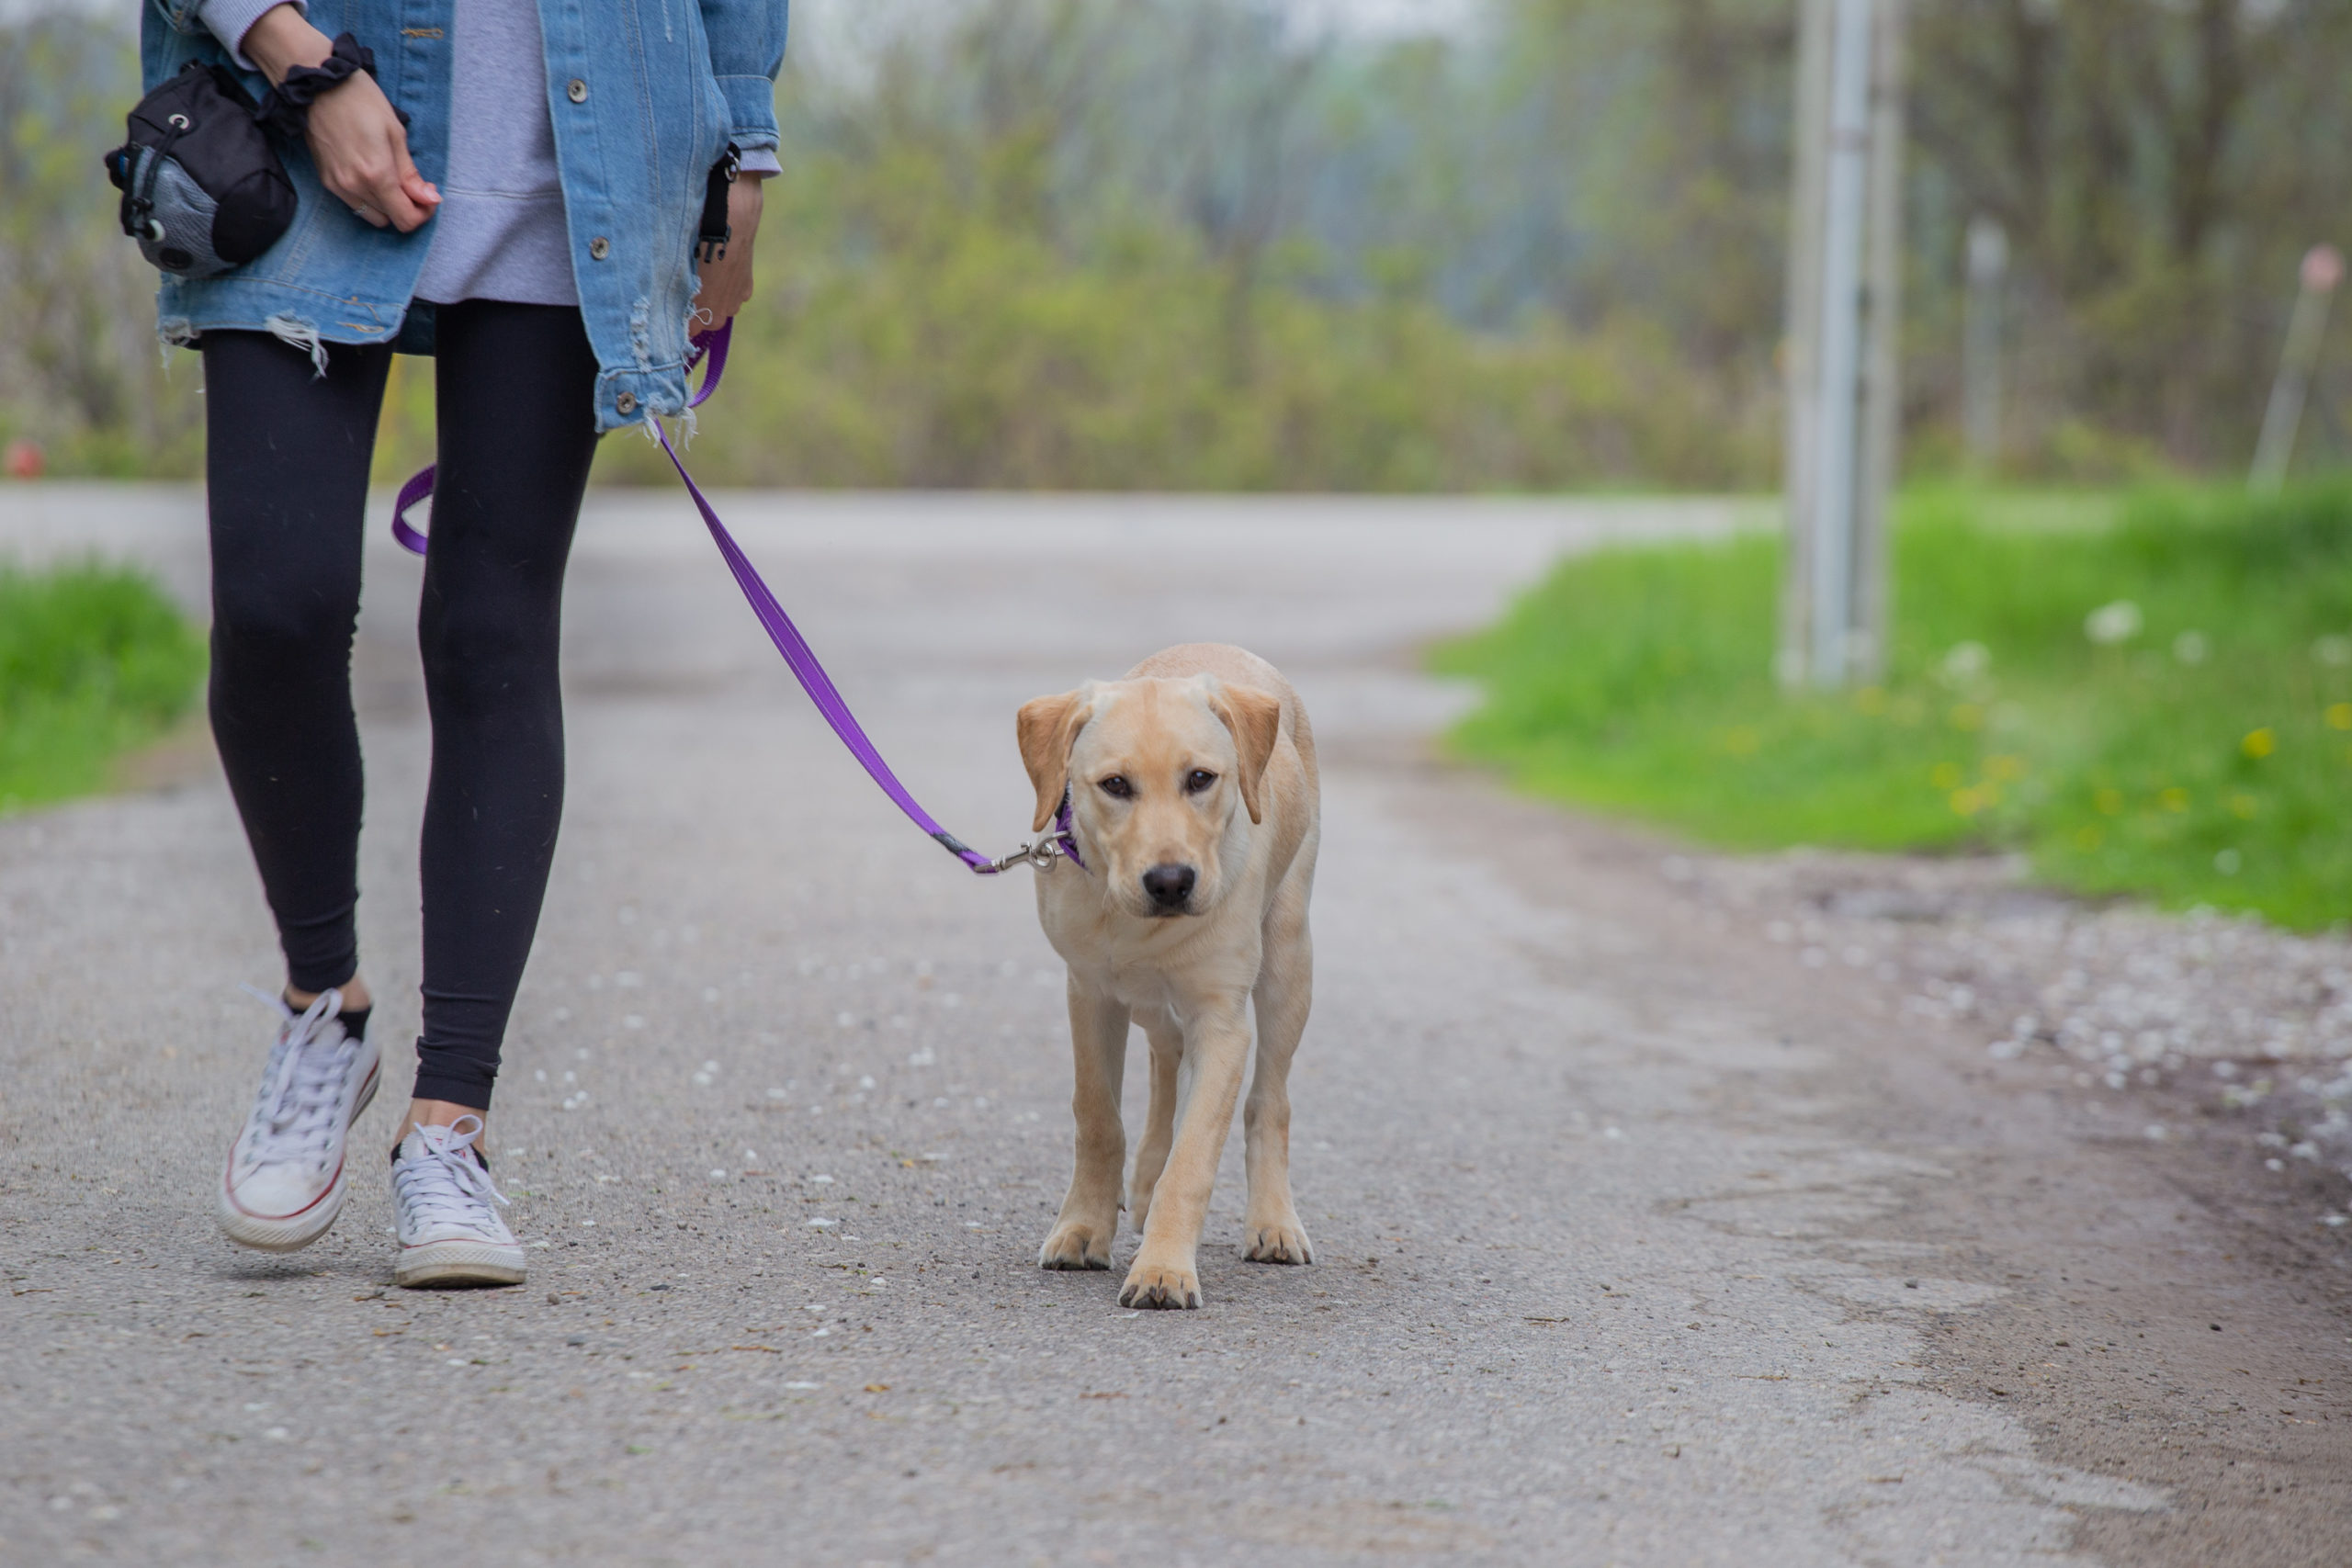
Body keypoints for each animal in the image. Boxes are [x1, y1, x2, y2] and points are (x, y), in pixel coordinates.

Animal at [1015, 639, 1326, 1316]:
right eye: (1115, 785)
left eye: (1201, 779)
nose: (1170, 883)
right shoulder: (1090, 994)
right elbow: (1097, 1117)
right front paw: (1083, 1227)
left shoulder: (1222, 1022)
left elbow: (1194, 1156)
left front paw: (1163, 1270)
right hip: (1148, 1002)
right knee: (1164, 1059)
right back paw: (1143, 1180)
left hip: (1288, 957)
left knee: (1269, 1100)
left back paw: (1274, 1222)